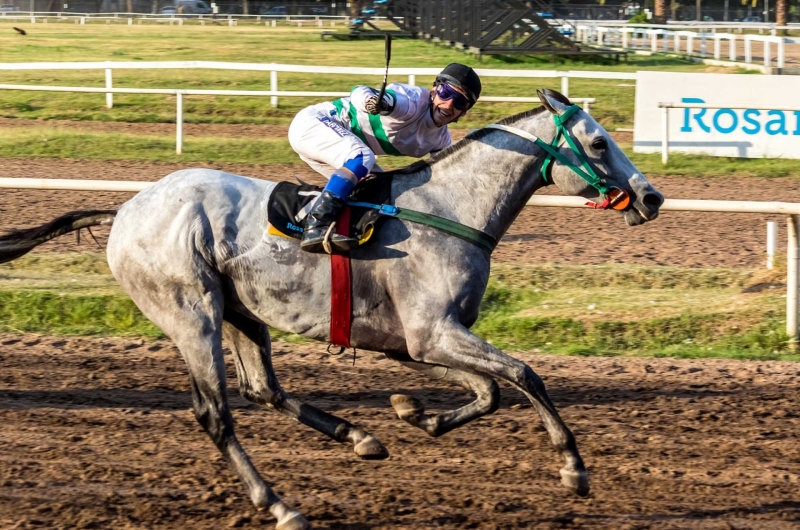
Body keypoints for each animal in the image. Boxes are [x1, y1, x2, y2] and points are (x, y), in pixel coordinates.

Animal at [0, 88, 664, 524]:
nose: (652, 197)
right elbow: (525, 375)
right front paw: (573, 467)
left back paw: (357, 437)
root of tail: (127, 208)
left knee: (262, 389)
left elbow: (491, 391)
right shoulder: (431, 334)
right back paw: (278, 503)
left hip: (243, 311)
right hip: (192, 313)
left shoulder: (416, 341)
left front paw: (414, 414)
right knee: (216, 413)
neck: (451, 211)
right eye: (599, 142)